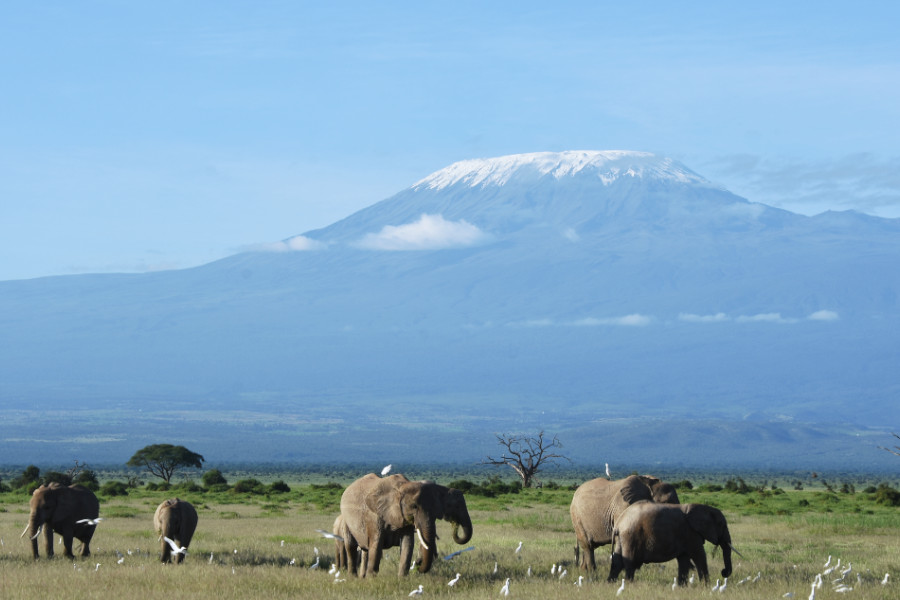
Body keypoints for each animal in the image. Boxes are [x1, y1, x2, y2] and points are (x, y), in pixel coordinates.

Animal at [338, 474, 474, 576]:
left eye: (436, 509)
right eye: (414, 506)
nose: (418, 563)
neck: (402, 486)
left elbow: (407, 544)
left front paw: (402, 578)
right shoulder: (374, 515)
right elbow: (376, 545)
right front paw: (372, 580)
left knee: (365, 550)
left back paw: (362, 577)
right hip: (345, 520)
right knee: (351, 547)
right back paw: (353, 577)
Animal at [608, 502, 736, 584]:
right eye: (722, 525)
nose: (723, 572)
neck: (704, 508)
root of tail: (619, 523)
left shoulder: (686, 536)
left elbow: (684, 559)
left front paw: (681, 587)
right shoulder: (691, 533)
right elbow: (699, 555)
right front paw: (706, 586)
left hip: (622, 538)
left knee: (617, 562)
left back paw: (610, 583)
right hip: (630, 536)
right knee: (629, 562)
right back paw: (629, 584)